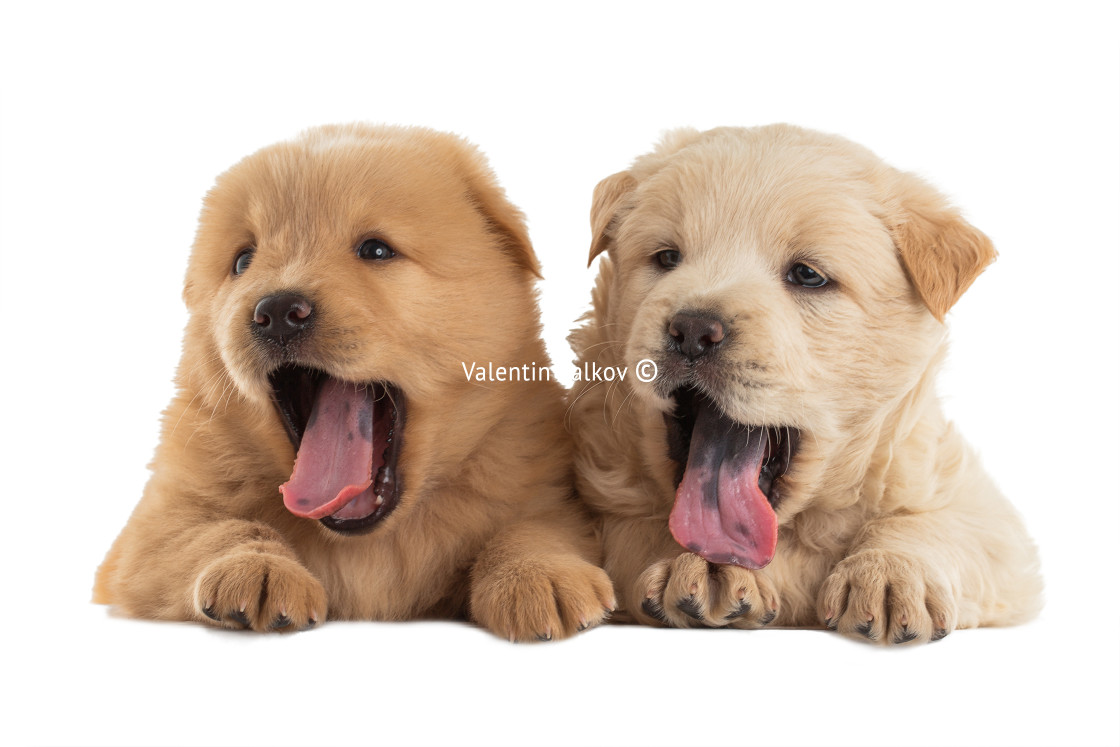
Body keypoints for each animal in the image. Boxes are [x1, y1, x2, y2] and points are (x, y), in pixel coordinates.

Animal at [95, 124, 618, 645]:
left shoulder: (542, 486)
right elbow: (217, 529)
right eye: (243, 261)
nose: (278, 311)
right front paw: (255, 570)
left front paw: (538, 575)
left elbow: (533, 527)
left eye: (376, 250)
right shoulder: (150, 528)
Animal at [573, 124, 1043, 645]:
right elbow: (635, 532)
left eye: (807, 275)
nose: (692, 330)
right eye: (667, 257)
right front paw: (706, 567)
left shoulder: (979, 510)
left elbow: (934, 523)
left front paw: (889, 572)